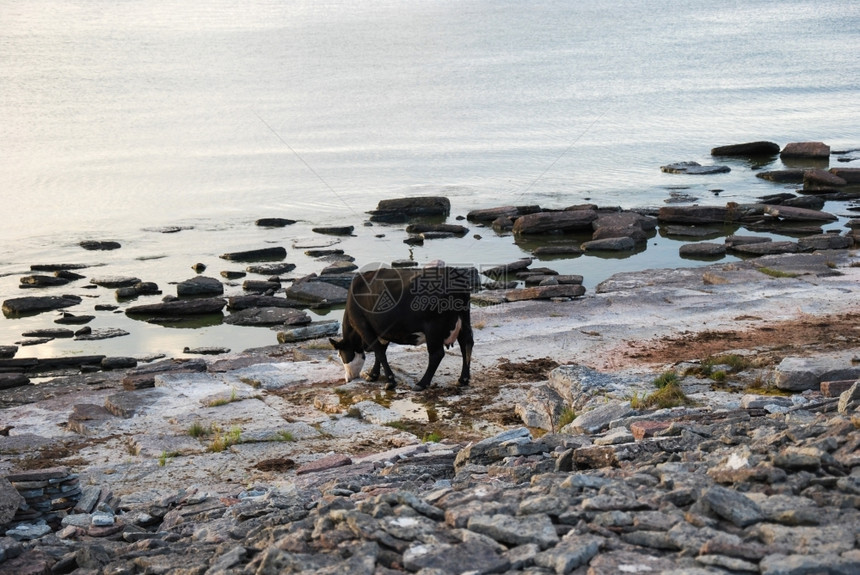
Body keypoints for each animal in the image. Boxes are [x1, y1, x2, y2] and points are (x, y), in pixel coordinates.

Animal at [330, 266, 478, 392]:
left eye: (340, 354)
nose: (347, 378)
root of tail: (454, 275)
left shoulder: (363, 326)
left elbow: (379, 352)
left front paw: (390, 381)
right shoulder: (382, 330)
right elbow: (380, 352)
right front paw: (373, 374)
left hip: (434, 328)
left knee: (437, 354)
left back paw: (422, 383)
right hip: (463, 320)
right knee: (466, 344)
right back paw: (463, 379)